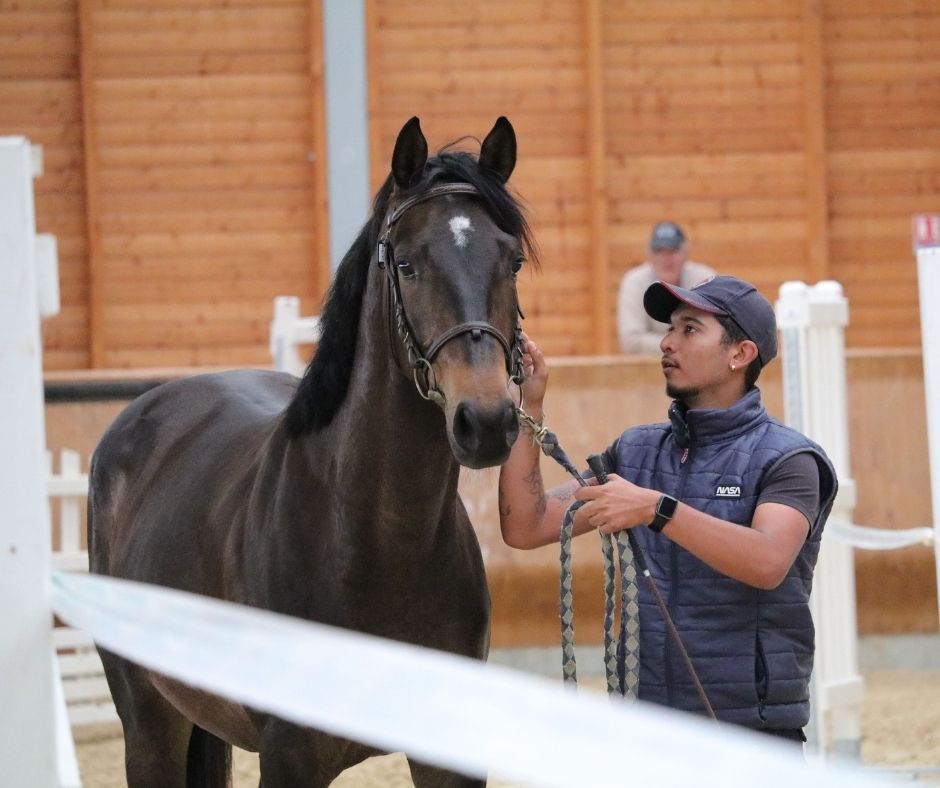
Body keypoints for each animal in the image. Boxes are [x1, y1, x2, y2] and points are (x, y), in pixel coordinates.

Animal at [87, 116, 537, 787]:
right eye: (407, 264)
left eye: (512, 261)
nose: (485, 421)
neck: (374, 539)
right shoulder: (290, 756)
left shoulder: (445, 757)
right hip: (149, 720)